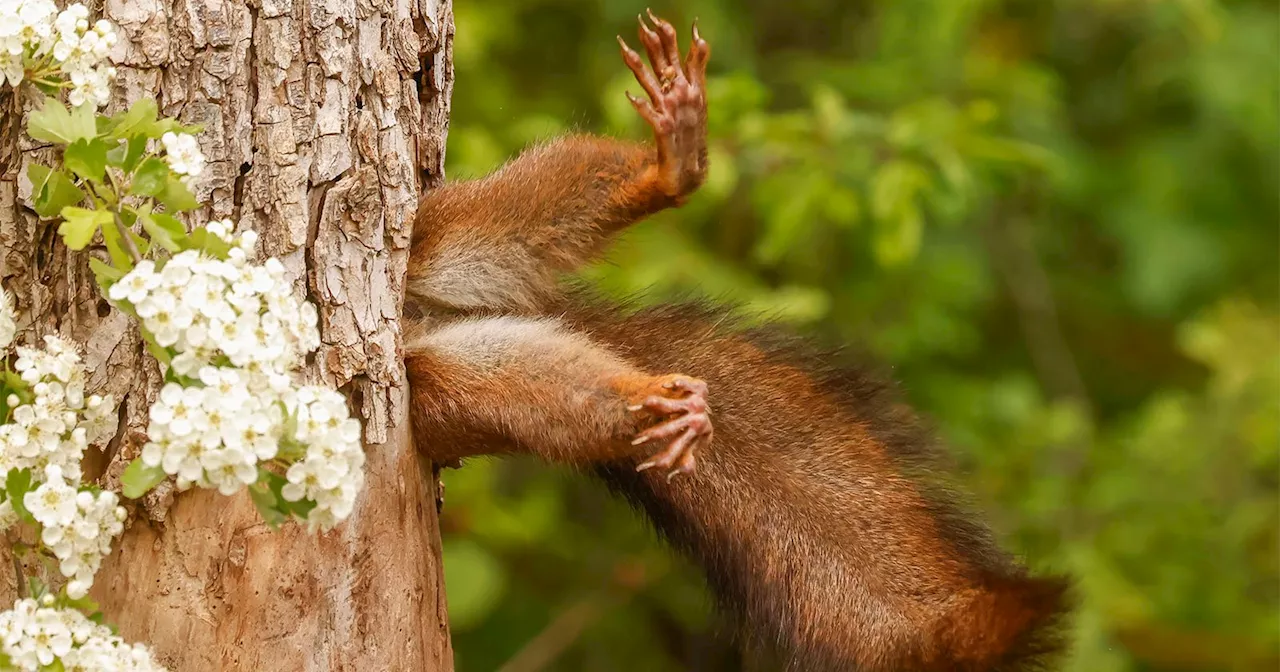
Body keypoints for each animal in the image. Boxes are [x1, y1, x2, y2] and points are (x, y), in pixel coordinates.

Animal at [399, 11, 1070, 670]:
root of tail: (420, 320)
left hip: (439, 233)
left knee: (522, 208)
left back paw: (672, 166)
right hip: (444, 388)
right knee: (540, 393)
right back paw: (657, 406)